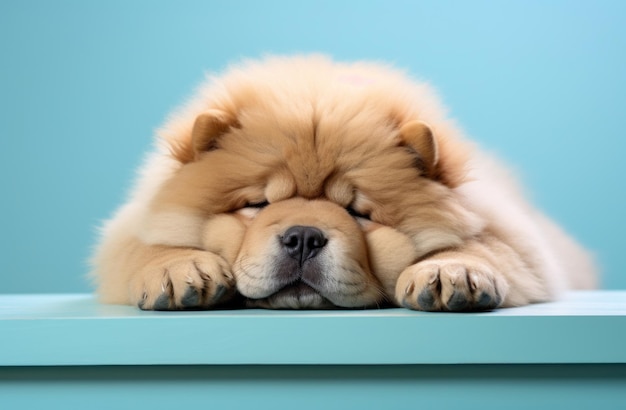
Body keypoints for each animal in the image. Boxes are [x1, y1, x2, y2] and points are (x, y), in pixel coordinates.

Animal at [91, 54, 596, 310]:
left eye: (358, 213)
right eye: (257, 204)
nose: (302, 237)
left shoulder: (516, 236)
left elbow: (487, 246)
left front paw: (449, 271)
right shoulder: (130, 230)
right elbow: (145, 247)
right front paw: (179, 269)